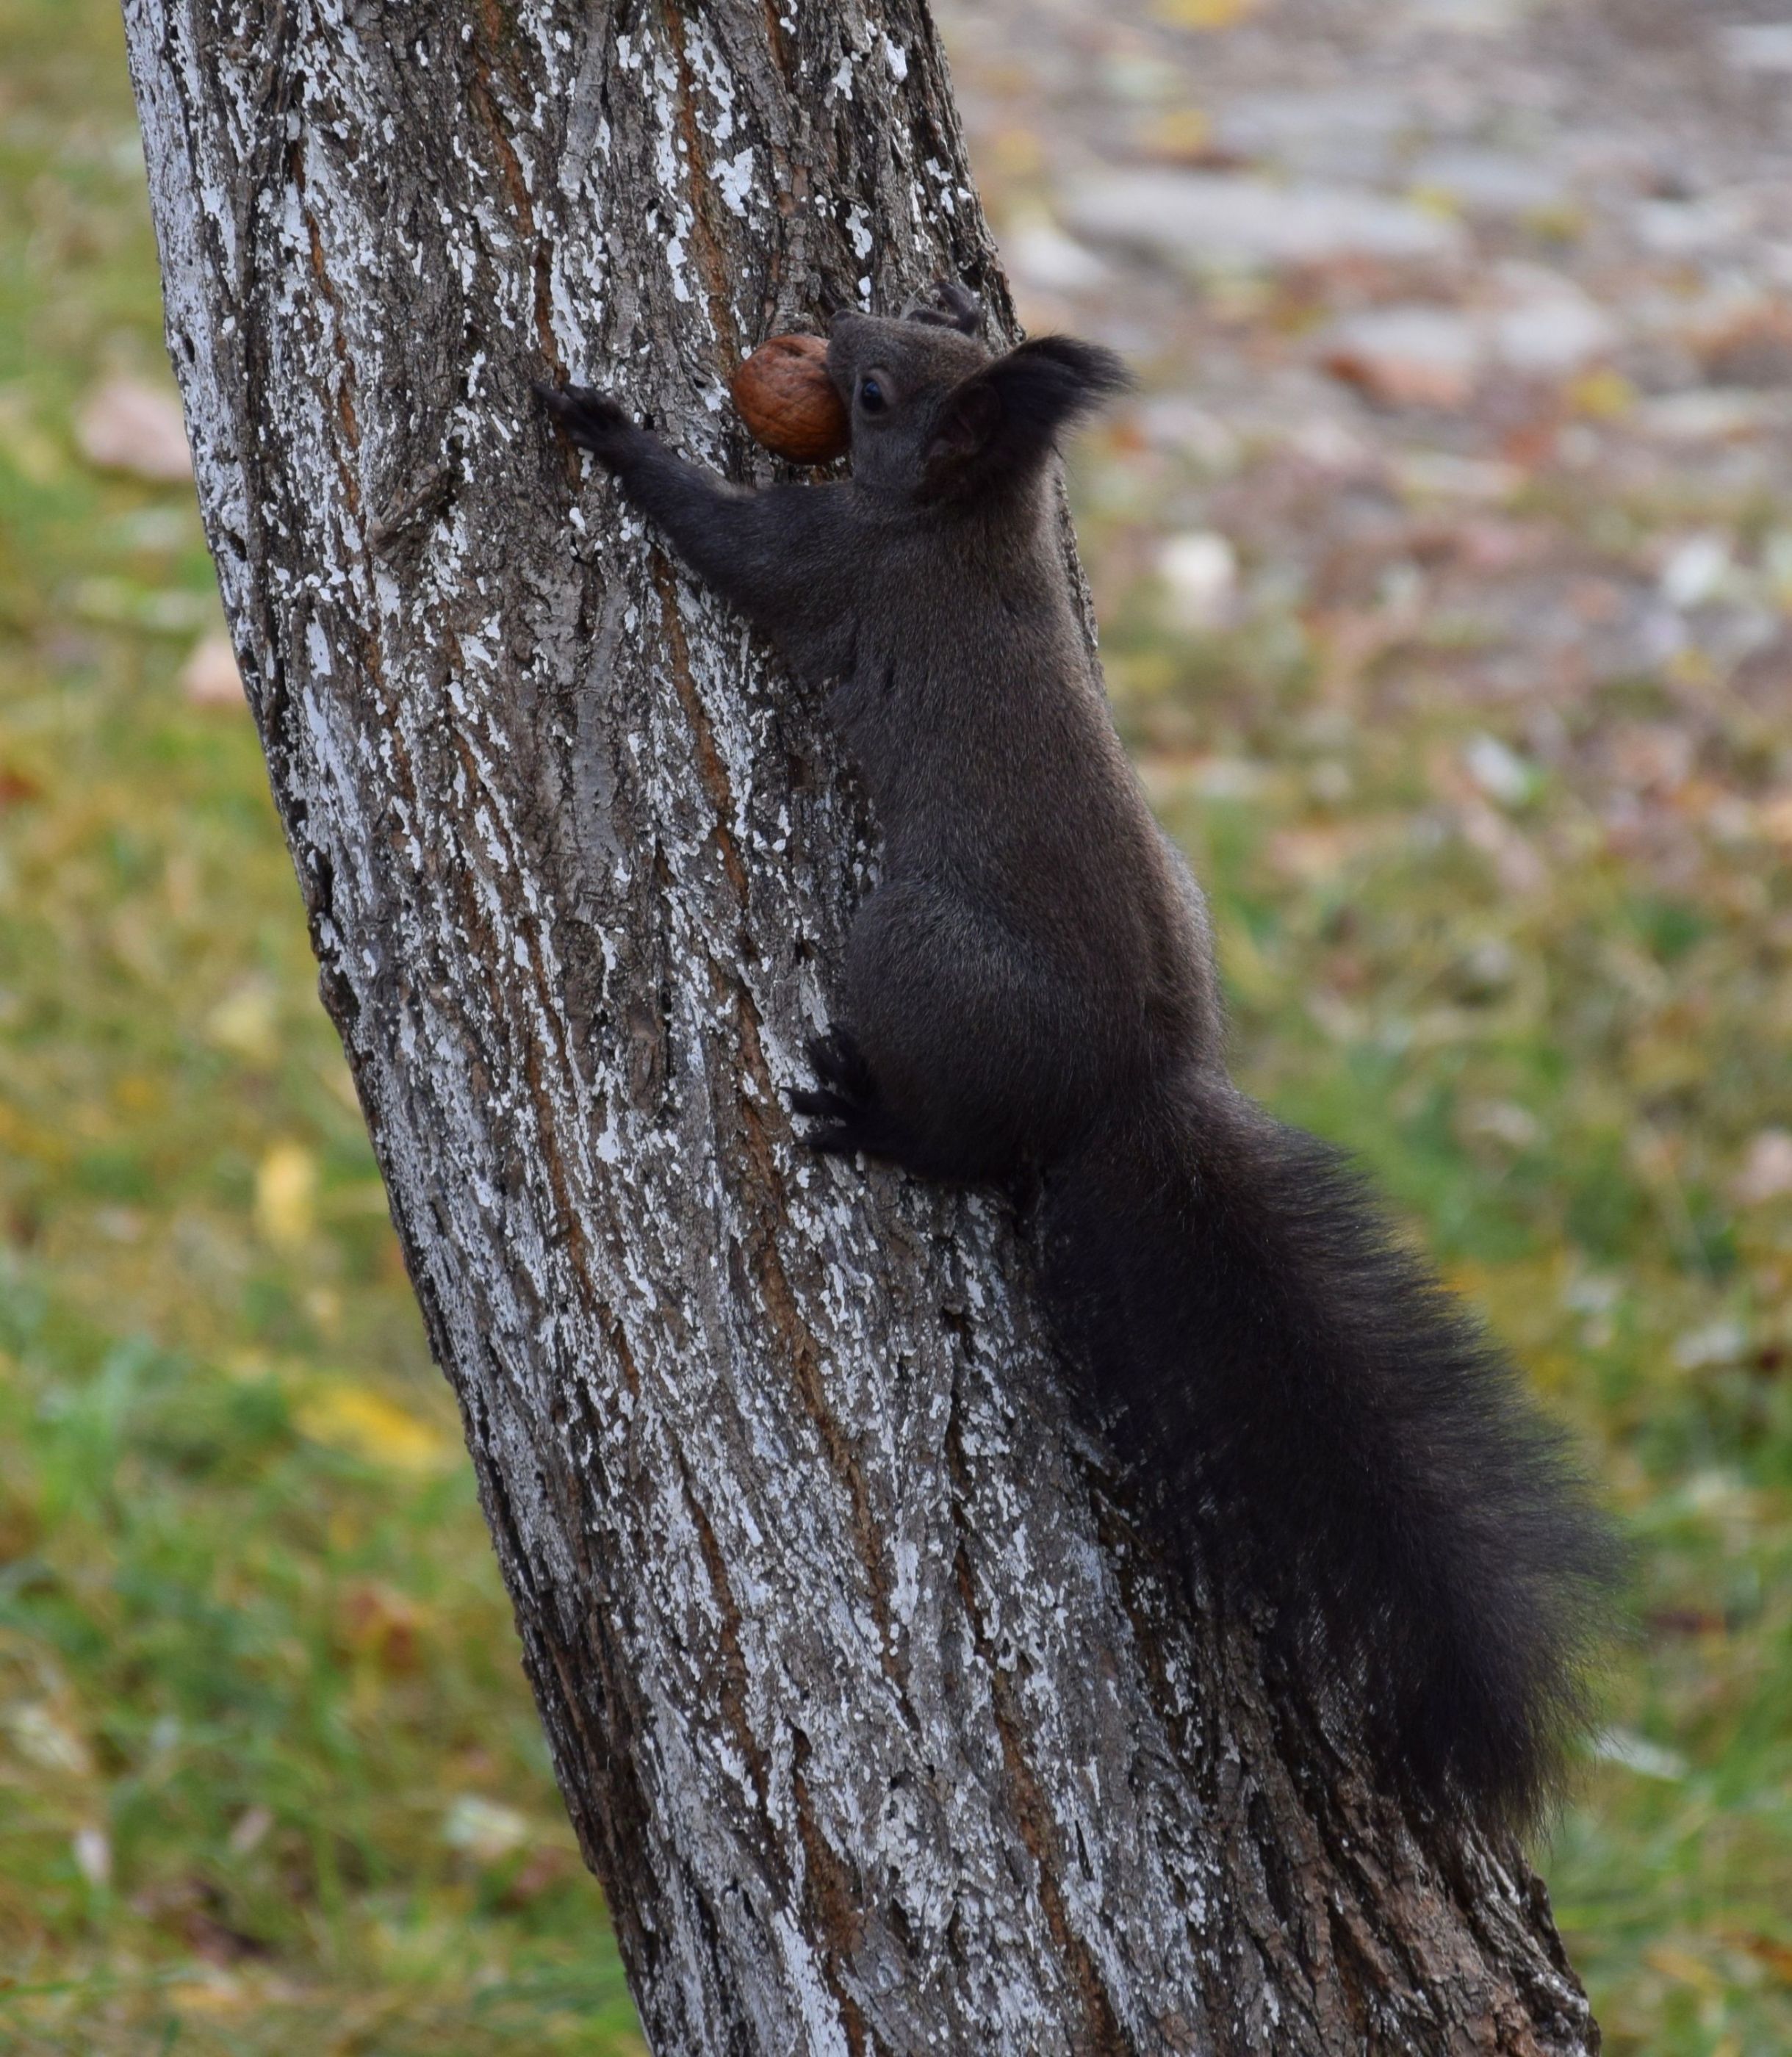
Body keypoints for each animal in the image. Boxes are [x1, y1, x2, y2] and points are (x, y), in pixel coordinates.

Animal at [539, 278, 1621, 1834]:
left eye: (878, 395)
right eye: (887, 347)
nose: (836, 329)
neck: (964, 523)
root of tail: (1135, 1089)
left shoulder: (820, 567)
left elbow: (719, 535)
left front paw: (602, 426)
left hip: (906, 951)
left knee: (971, 1153)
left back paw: (873, 1118)